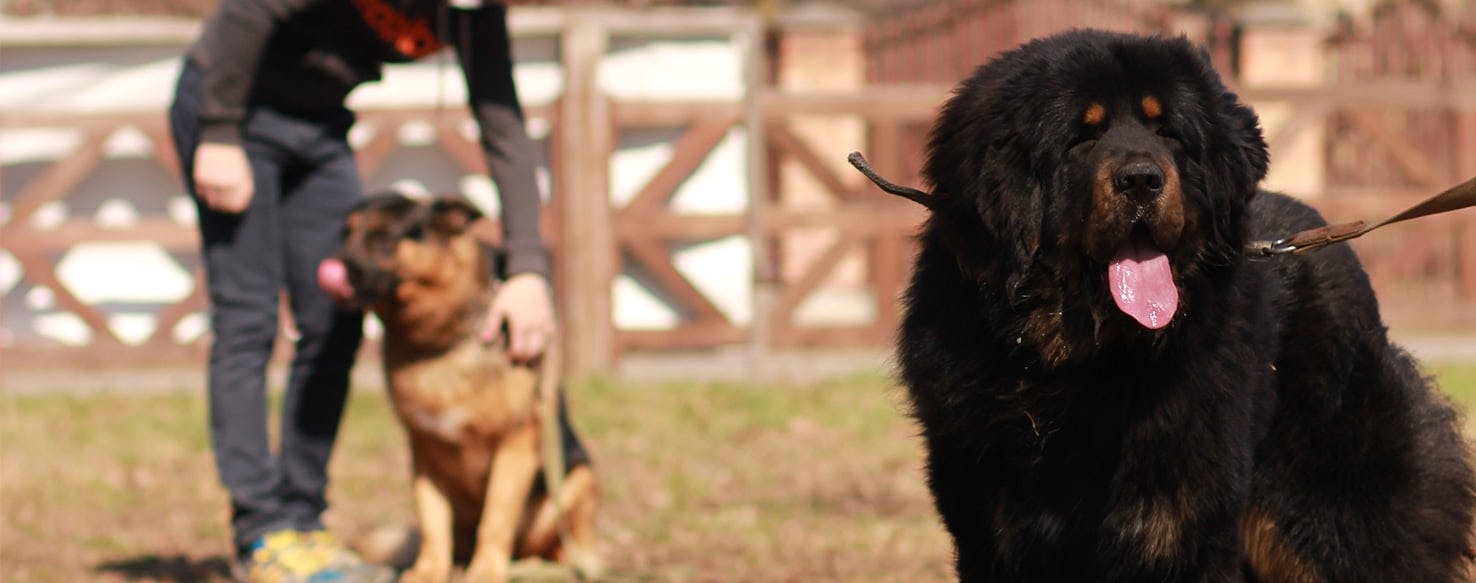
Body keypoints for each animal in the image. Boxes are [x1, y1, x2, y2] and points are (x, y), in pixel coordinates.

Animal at [320, 193, 602, 581]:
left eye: (384, 235)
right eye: (346, 233)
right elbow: (431, 519)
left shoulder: (516, 441)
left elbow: (497, 517)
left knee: (562, 541)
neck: (440, 342)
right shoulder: (423, 448)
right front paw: (428, 571)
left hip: (578, 477)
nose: (332, 267)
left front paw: (486, 572)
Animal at [885, 29, 1476, 581]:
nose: (1142, 179)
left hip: (1327, 510)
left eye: (1167, 131)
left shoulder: (1177, 528)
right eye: (1082, 136)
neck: (1080, 367)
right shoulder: (994, 533)